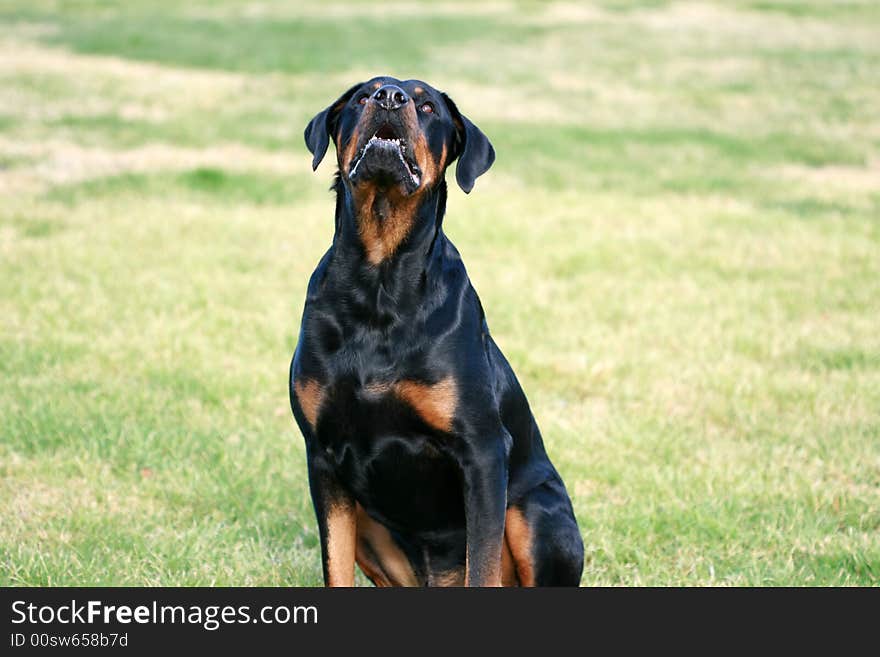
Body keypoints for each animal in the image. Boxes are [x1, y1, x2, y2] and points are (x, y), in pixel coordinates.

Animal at [288, 75, 584, 584]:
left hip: (535, 510)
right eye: (363, 96)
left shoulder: (483, 453)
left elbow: (482, 566)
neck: (379, 283)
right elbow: (334, 565)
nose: (389, 97)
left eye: (427, 106)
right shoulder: (323, 459)